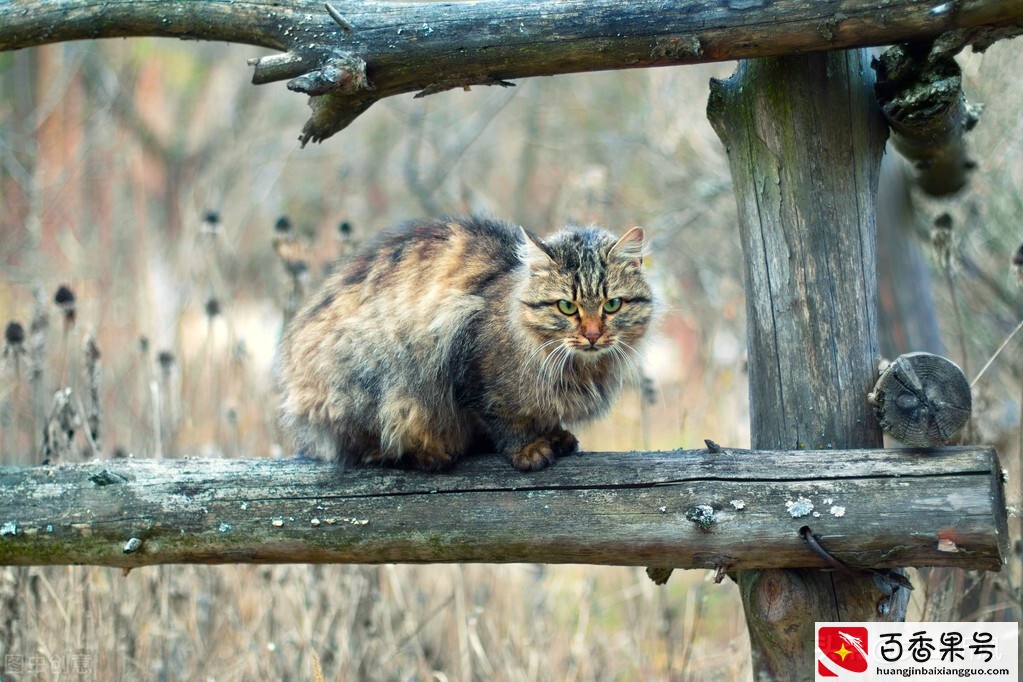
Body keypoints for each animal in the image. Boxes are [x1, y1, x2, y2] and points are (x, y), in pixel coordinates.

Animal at [274, 215, 654, 472]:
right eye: (567, 306)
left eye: (612, 305)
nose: (592, 334)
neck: (580, 368)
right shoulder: (468, 363)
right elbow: (503, 418)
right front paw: (528, 450)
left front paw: (556, 435)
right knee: (367, 449)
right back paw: (429, 455)